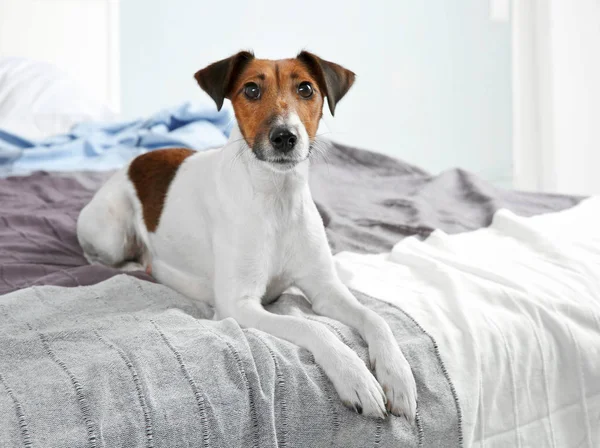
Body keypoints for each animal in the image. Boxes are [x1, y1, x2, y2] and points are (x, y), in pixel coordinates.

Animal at [77, 52, 418, 420]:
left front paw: (397, 374)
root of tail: (136, 160)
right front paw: (354, 374)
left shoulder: (326, 289)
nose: (285, 136)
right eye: (251, 89)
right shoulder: (238, 305)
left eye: (306, 88)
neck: (277, 198)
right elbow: (313, 327)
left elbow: (376, 318)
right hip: (111, 234)